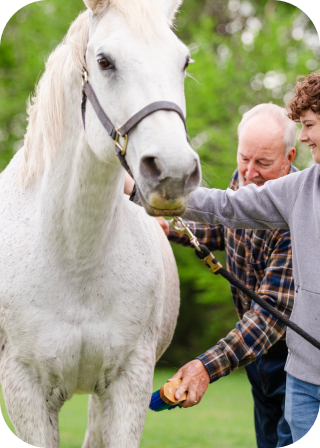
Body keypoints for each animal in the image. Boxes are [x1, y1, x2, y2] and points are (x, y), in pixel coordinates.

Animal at [0, 1, 200, 446]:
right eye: (105, 62)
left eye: (183, 62)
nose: (174, 172)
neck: (75, 256)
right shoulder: (24, 387)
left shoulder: (130, 382)